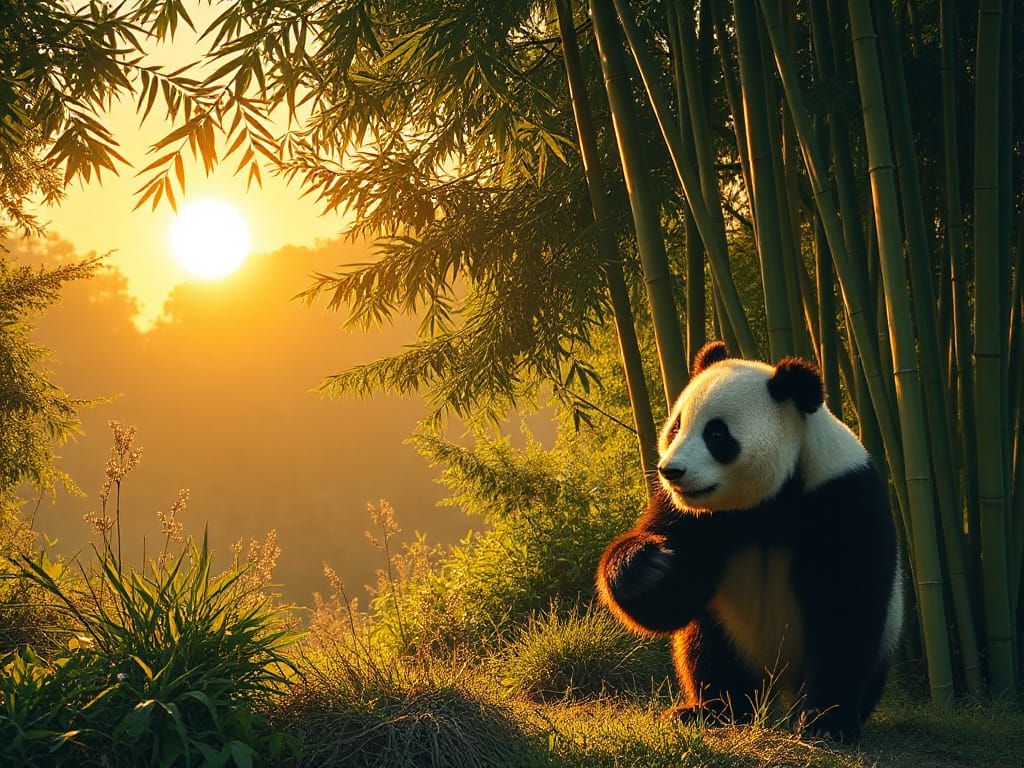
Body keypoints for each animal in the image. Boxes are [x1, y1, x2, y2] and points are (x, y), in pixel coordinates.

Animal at [597, 341, 901, 742]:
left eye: (716, 435)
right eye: (676, 426)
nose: (671, 471)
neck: (767, 504)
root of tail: (778, 681)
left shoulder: (841, 495)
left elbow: (846, 606)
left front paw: (824, 723)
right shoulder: (693, 515)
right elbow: (672, 601)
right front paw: (645, 567)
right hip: (730, 633)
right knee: (708, 650)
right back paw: (711, 710)